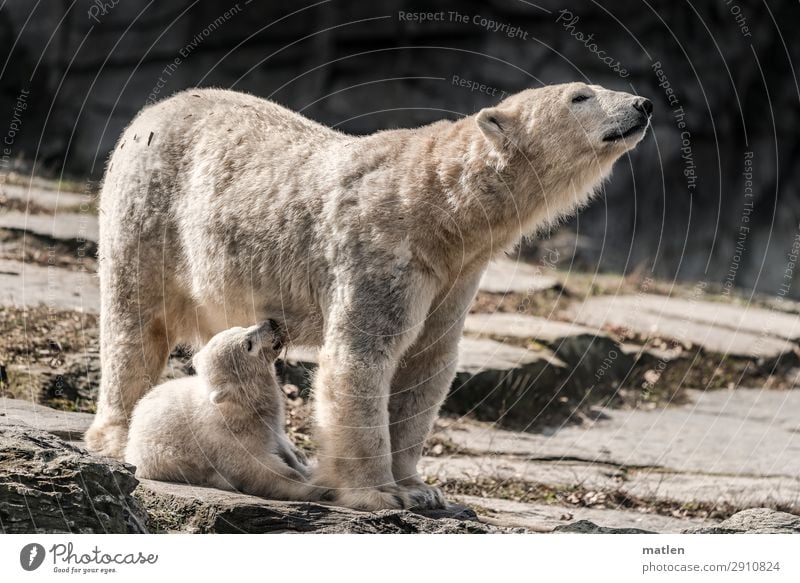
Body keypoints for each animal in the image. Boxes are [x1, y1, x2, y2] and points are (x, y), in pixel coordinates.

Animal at [86, 81, 648, 512]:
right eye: (580, 95)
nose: (643, 104)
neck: (436, 205)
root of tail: (153, 109)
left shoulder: (454, 275)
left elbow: (426, 365)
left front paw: (422, 490)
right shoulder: (381, 251)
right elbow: (363, 358)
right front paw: (380, 494)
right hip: (150, 216)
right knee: (134, 324)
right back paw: (117, 437)